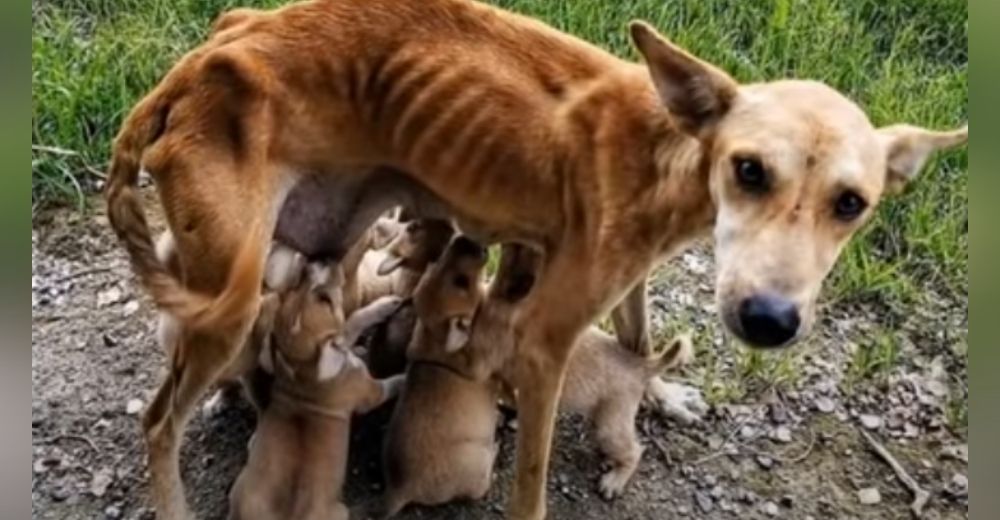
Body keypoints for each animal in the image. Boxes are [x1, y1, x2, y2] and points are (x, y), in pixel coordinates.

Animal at [230, 264, 402, 520]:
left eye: (295, 286)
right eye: (325, 300)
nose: (313, 265)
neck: (301, 366)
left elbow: (352, 321)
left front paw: (383, 306)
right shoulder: (371, 392)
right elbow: (392, 383)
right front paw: (406, 376)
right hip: (340, 510)